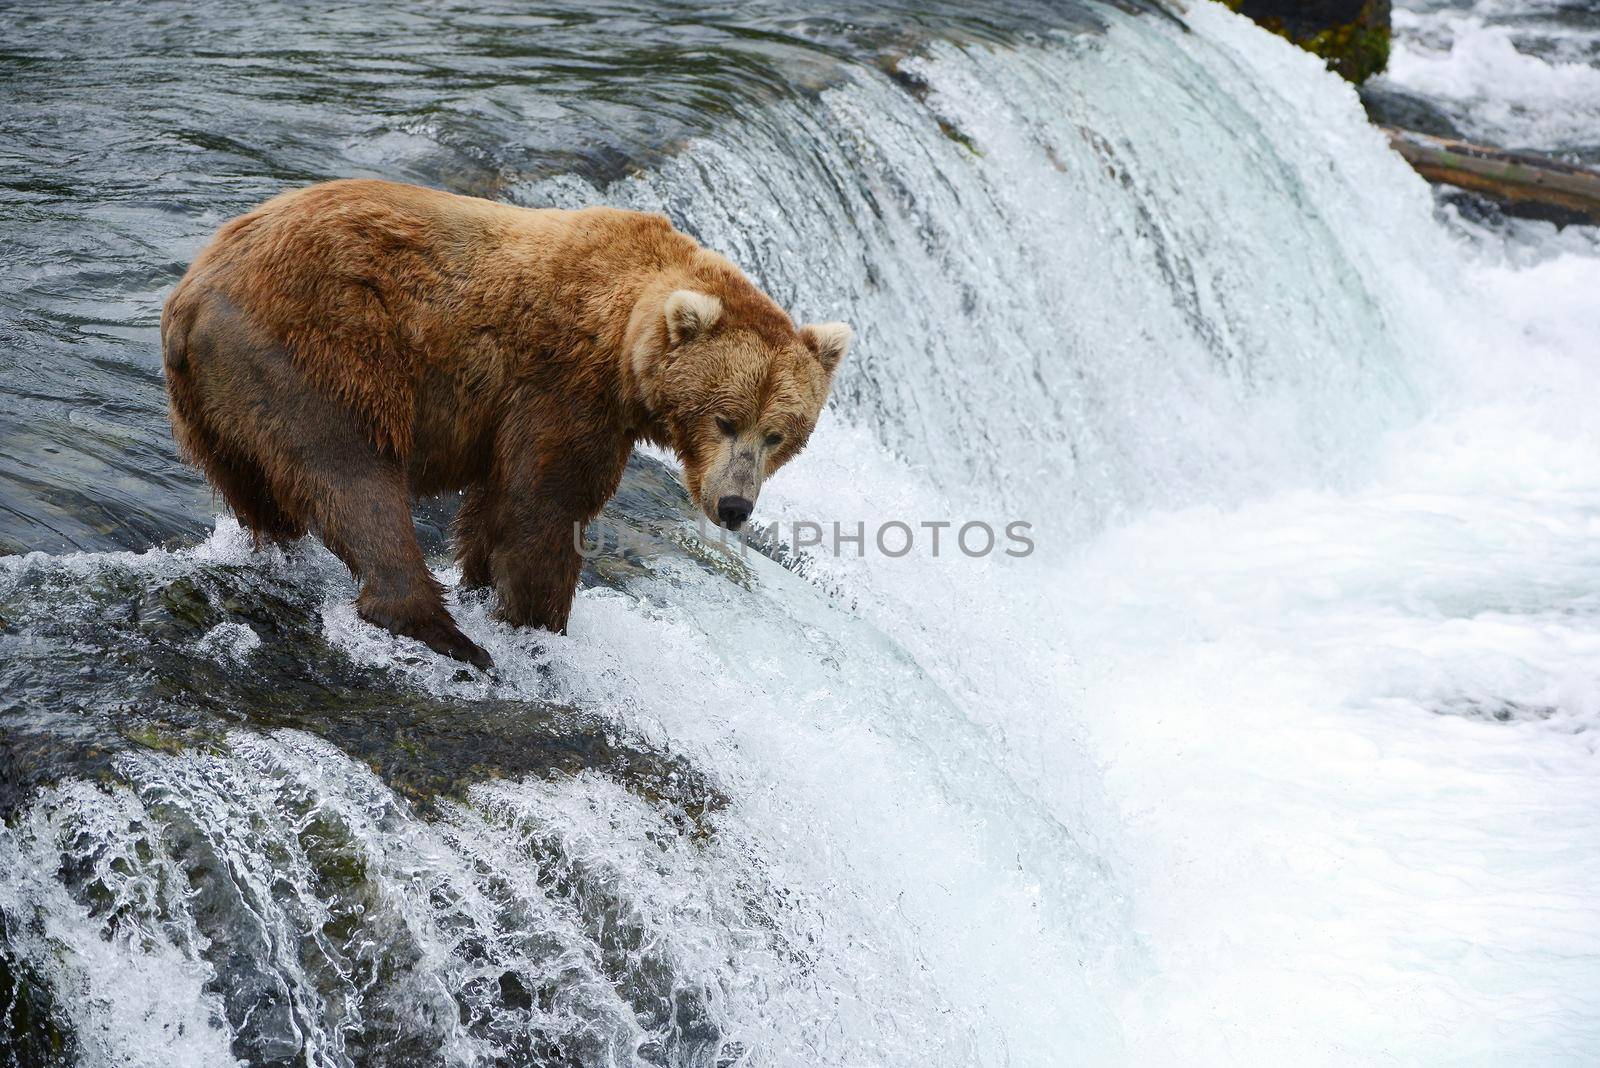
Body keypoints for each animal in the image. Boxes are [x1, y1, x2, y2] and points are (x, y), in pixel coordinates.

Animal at [165, 180, 851, 671]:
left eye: (778, 435)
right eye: (725, 419)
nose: (735, 506)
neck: (624, 352)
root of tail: (191, 295)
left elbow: (495, 507)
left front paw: (482, 585)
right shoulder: (562, 388)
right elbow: (544, 508)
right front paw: (539, 622)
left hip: (214, 411)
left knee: (260, 494)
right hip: (315, 355)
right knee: (353, 478)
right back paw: (440, 631)